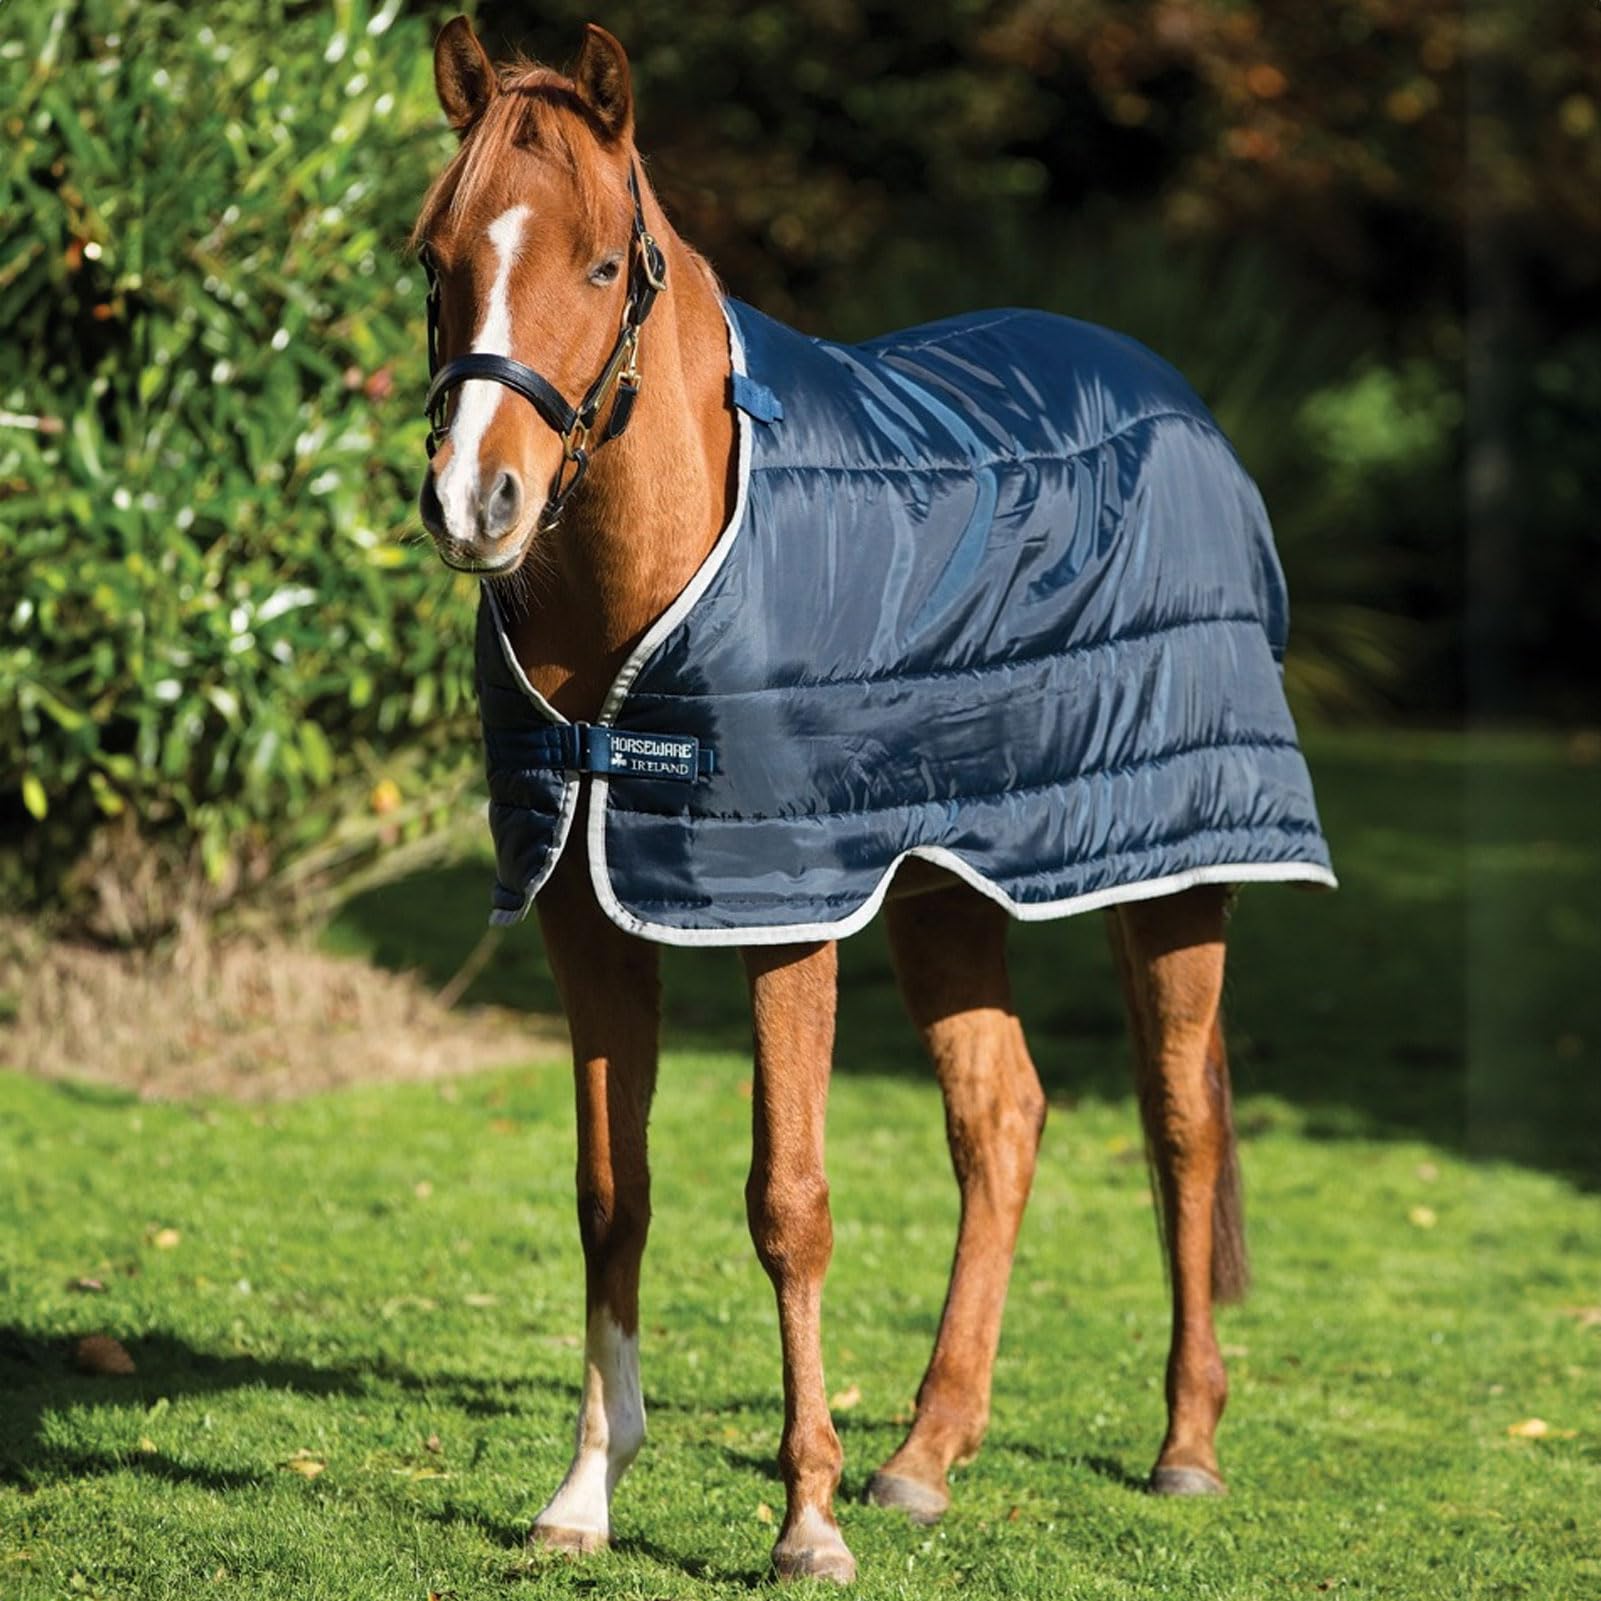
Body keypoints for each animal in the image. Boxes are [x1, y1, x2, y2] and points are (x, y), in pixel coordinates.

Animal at [411, 17, 1332, 1584]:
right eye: (435, 259)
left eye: (597, 266)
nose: (479, 502)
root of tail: (1174, 399)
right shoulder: (587, 912)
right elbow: (611, 1195)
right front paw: (584, 1495)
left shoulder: (784, 914)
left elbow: (789, 1204)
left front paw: (805, 1523)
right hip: (944, 888)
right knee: (1001, 1120)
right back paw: (925, 1454)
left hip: (1173, 871)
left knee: (1179, 1126)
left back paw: (1183, 1445)